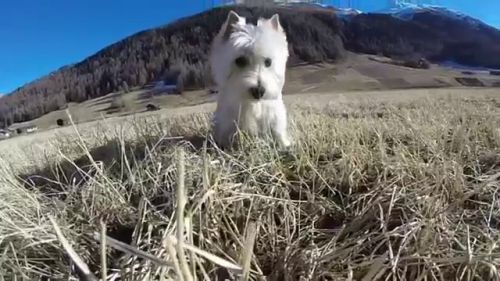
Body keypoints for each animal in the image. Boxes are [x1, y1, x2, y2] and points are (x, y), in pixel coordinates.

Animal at [209, 10, 292, 149]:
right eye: (240, 60)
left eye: (268, 62)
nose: (259, 91)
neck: (253, 103)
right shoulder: (230, 120)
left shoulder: (274, 113)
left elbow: (277, 130)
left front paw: (284, 144)